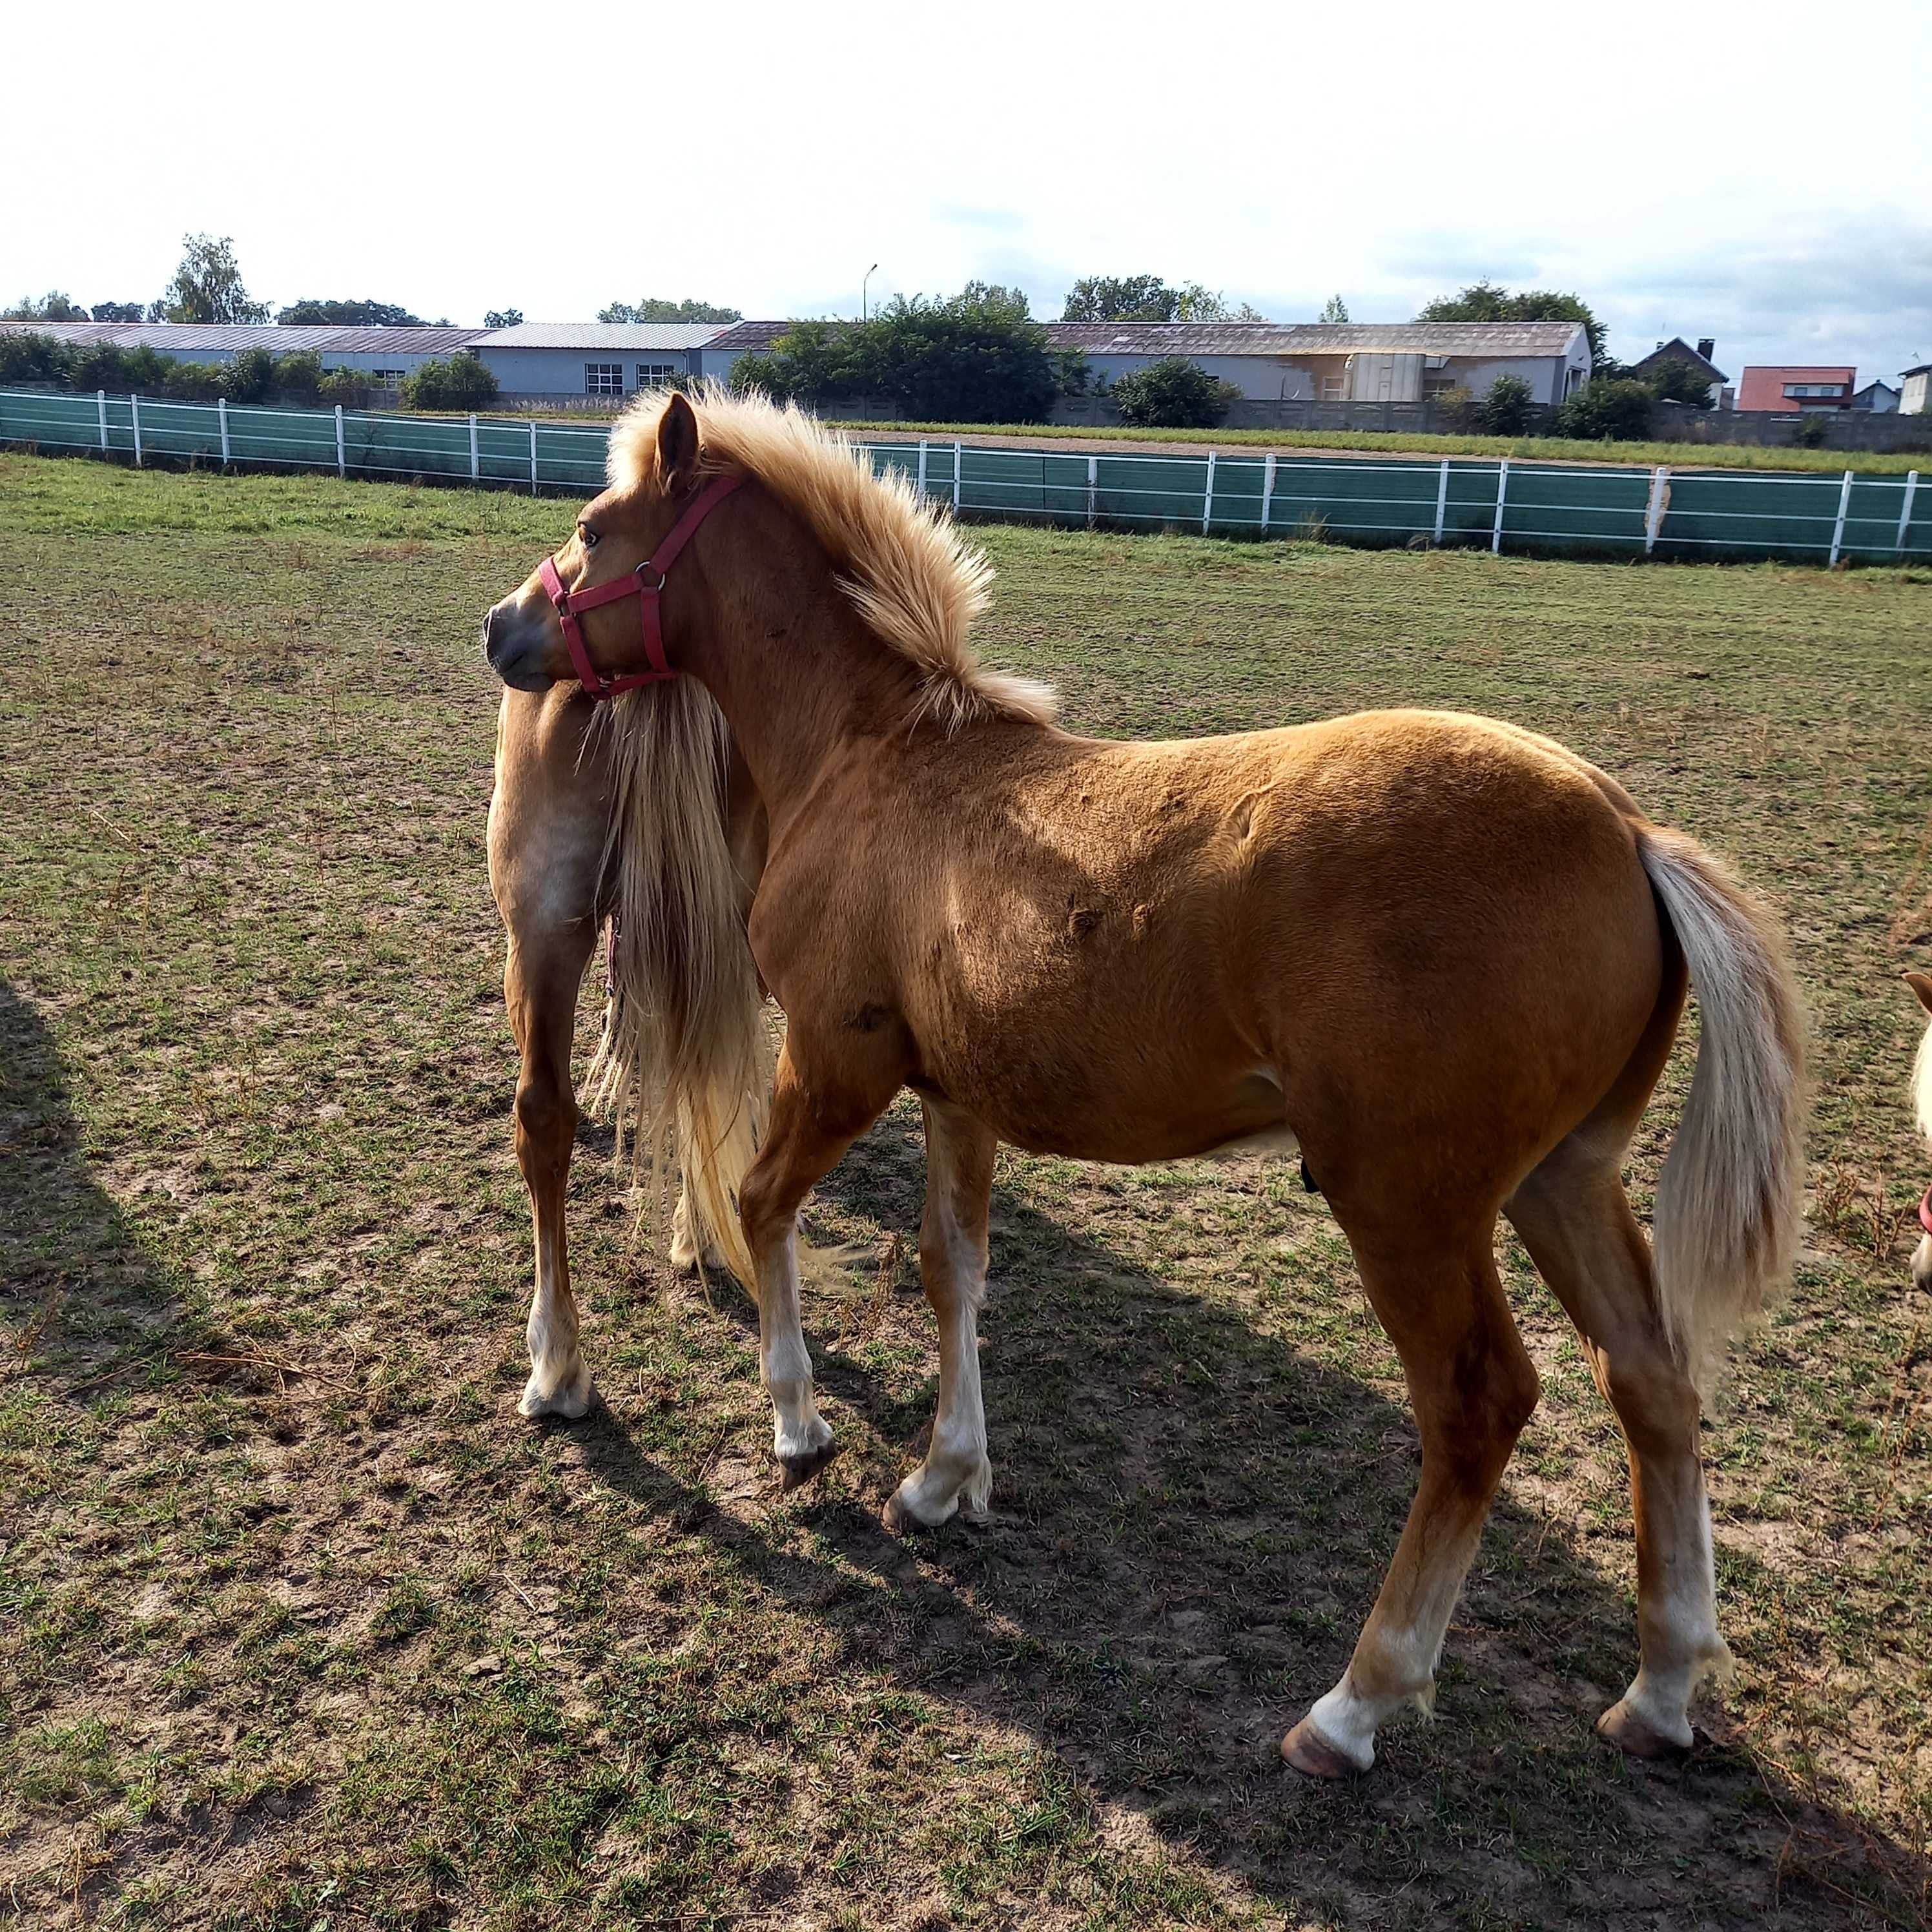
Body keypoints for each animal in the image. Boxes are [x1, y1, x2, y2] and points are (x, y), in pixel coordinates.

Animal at [475, 384, 1800, 1769]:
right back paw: (1660, 1689)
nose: (503, 628)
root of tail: (1629, 831)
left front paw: (799, 1425)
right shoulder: (955, 1092)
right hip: (1564, 1176)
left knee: (1478, 1404)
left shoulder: (838, 1061)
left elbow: (762, 1204)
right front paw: (945, 1479)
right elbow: (954, 1268)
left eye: (594, 526)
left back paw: (1355, 1703)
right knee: (1651, 1380)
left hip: (1410, 1204)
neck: (872, 755)